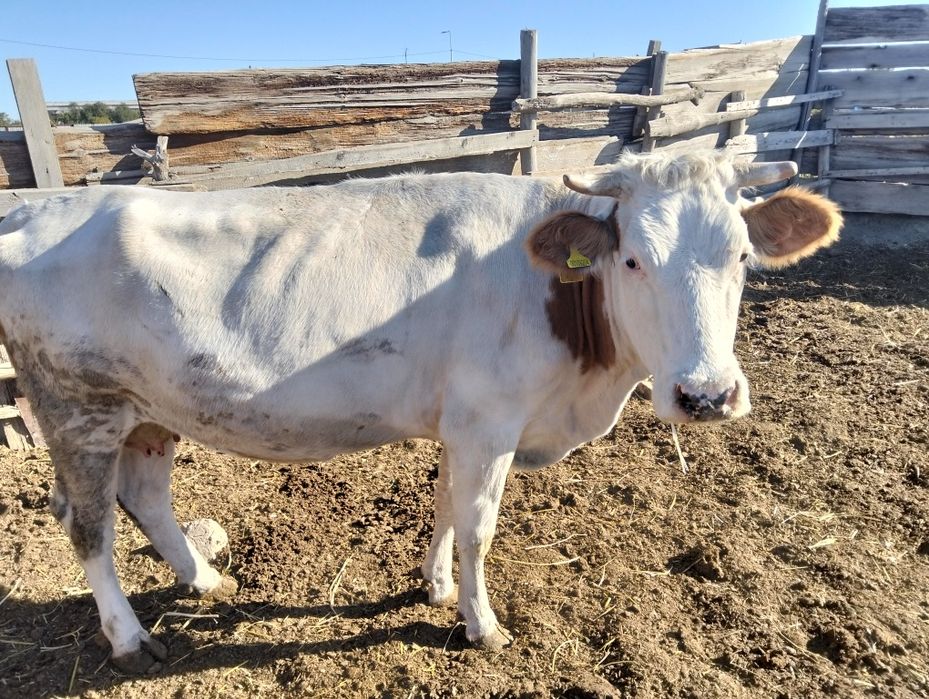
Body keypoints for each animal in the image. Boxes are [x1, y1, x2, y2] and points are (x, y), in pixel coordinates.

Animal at [0, 150, 841, 672]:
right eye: (632, 259)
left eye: (740, 256)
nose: (706, 394)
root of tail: (41, 202)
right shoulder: (488, 420)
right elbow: (477, 526)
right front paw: (481, 623)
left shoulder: (459, 422)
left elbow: (442, 506)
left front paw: (435, 586)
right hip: (77, 405)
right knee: (86, 524)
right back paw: (128, 637)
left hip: (150, 409)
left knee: (144, 495)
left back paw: (203, 578)